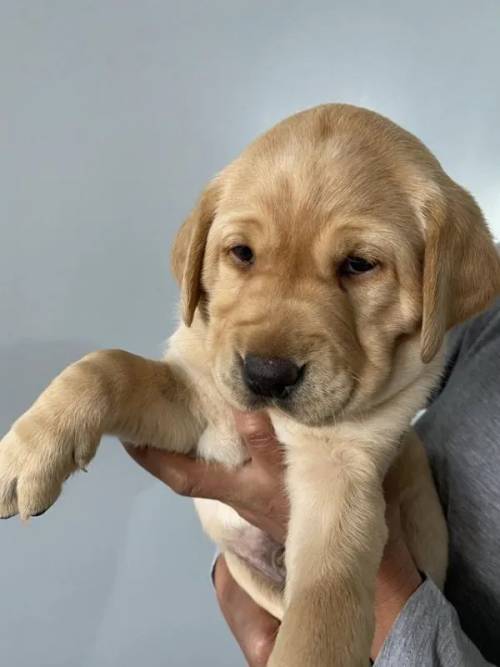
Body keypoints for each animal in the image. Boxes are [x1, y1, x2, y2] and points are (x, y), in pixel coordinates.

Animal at [0, 104, 500, 664]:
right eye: (242, 253)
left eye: (359, 265)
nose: (267, 374)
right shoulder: (200, 407)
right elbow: (107, 366)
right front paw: (29, 453)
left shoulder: (341, 478)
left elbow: (321, 615)